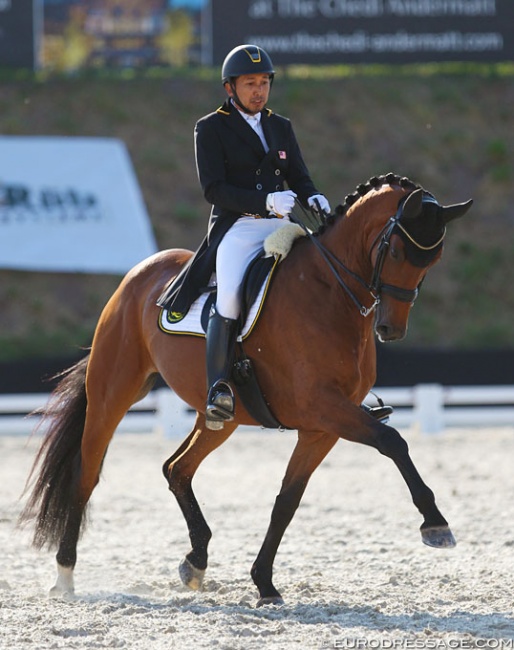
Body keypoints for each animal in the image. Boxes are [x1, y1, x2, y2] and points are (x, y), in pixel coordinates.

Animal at [21, 173, 472, 608]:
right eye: (395, 252)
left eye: (433, 259)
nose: (391, 329)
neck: (328, 293)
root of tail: (139, 273)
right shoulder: (323, 407)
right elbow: (392, 441)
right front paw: (435, 524)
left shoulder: (321, 428)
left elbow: (286, 501)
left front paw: (264, 583)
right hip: (112, 393)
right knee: (86, 474)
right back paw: (65, 576)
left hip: (222, 417)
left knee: (177, 468)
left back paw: (196, 562)